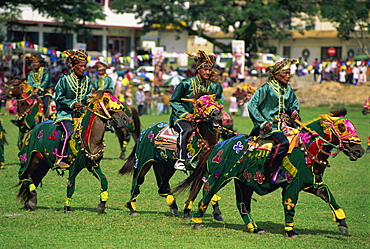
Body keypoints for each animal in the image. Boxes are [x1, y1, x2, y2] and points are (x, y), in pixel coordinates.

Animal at [174, 109, 364, 237]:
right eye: (341, 127)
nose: (359, 151)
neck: (307, 150)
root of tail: (219, 145)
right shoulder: (292, 186)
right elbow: (289, 206)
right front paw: (291, 231)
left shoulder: (312, 184)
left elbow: (329, 196)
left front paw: (342, 223)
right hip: (218, 177)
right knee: (206, 196)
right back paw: (197, 221)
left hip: (243, 182)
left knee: (243, 205)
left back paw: (255, 228)